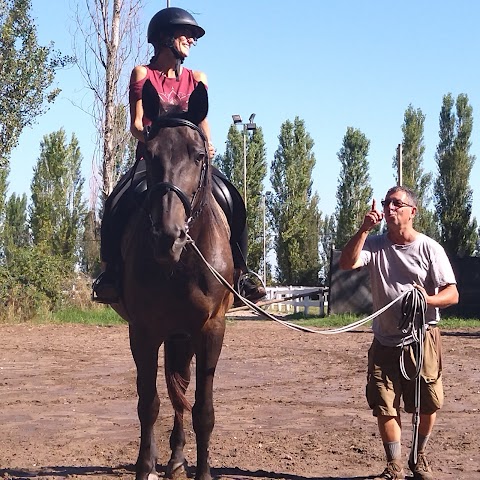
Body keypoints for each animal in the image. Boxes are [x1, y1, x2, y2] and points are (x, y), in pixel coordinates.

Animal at [112, 80, 232, 480]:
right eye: (149, 154)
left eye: (197, 155)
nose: (168, 236)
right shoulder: (143, 330)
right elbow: (148, 403)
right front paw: (143, 467)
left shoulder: (210, 329)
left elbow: (202, 410)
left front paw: (204, 472)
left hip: (184, 335)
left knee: (181, 391)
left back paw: (179, 458)